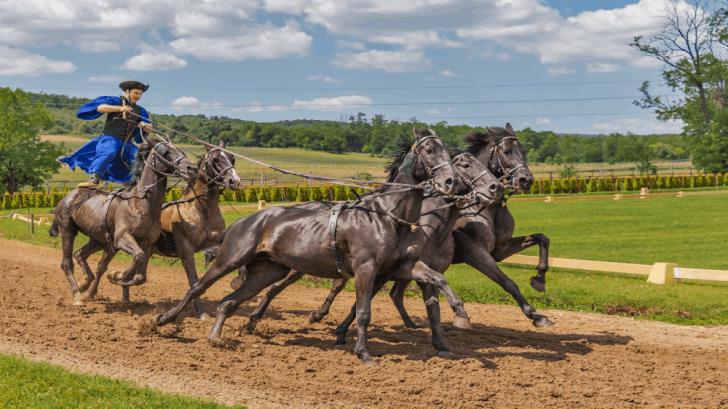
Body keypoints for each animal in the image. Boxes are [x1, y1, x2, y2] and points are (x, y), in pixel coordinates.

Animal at [49, 137, 198, 306]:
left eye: (181, 151)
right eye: (166, 152)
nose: (192, 168)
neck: (140, 202)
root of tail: (67, 197)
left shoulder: (145, 244)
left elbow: (140, 276)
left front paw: (117, 276)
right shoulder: (121, 238)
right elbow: (138, 257)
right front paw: (117, 275)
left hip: (98, 239)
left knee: (80, 254)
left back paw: (85, 283)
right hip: (68, 230)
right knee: (67, 263)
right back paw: (78, 295)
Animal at [151, 139, 242, 320]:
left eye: (232, 158)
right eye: (215, 159)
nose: (234, 181)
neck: (201, 209)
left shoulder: (216, 243)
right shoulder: (186, 250)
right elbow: (193, 280)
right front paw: (201, 312)